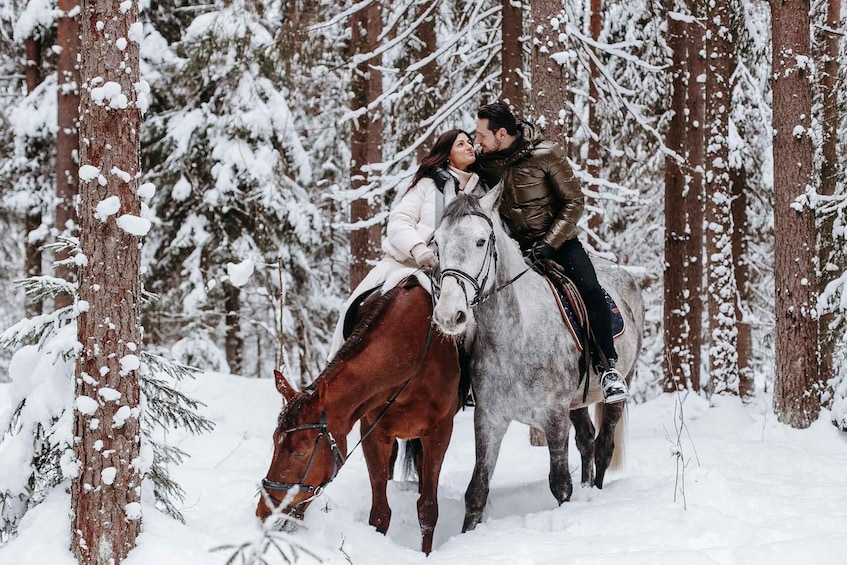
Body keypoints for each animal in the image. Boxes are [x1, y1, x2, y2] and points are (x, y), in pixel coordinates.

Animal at [255, 280, 460, 552]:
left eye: (300, 452)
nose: (263, 513)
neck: (412, 354)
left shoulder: (439, 432)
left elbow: (427, 509)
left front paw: (425, 554)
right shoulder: (374, 432)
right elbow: (380, 513)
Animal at [434, 187, 644, 532]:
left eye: (481, 241)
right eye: (436, 243)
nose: (450, 314)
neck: (515, 334)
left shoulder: (553, 416)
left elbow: (560, 485)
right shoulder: (489, 418)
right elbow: (476, 491)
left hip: (622, 383)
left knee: (603, 446)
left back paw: (597, 493)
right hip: (578, 401)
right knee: (586, 441)